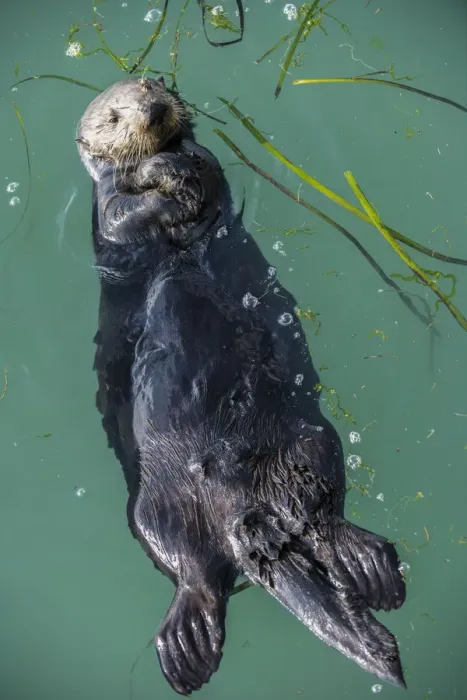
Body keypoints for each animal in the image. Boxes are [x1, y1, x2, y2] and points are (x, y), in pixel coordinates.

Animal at [77, 77, 407, 696]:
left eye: (150, 85)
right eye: (112, 116)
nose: (152, 111)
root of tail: (249, 514)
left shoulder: (211, 173)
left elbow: (204, 170)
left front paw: (174, 163)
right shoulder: (105, 210)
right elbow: (119, 213)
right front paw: (158, 171)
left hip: (309, 443)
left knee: (322, 524)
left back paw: (370, 569)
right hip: (152, 512)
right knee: (198, 577)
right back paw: (189, 650)